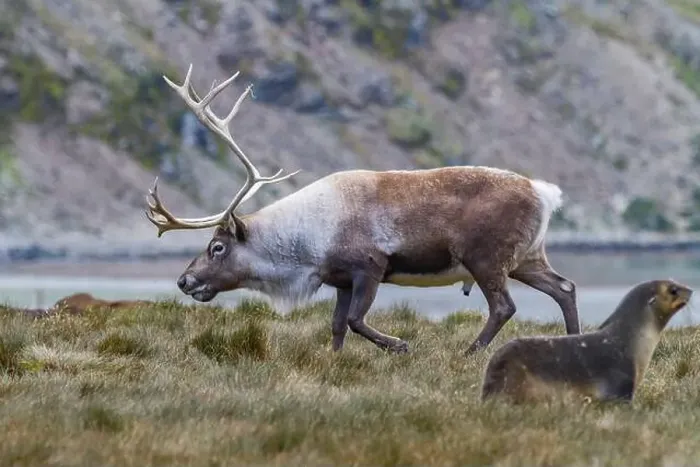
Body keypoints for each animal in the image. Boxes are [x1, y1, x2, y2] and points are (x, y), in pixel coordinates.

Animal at [144, 64, 581, 356]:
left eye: (217, 247)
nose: (184, 280)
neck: (305, 245)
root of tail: (545, 193)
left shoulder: (369, 267)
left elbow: (355, 321)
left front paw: (400, 345)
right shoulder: (339, 279)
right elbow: (337, 326)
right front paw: (335, 361)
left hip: (486, 258)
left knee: (505, 306)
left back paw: (470, 353)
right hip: (526, 257)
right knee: (565, 288)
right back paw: (575, 343)